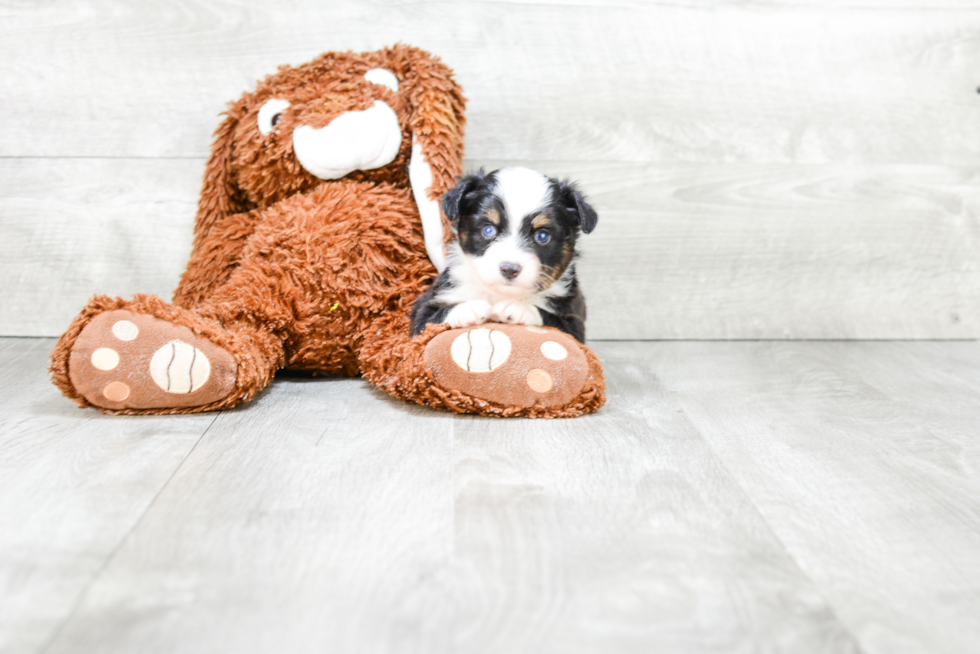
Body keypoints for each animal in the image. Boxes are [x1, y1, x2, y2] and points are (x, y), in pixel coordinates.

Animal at [412, 167, 596, 344]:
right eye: (488, 229)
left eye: (542, 236)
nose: (509, 269)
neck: (499, 294)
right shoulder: (423, 312)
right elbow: (434, 318)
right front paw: (468, 308)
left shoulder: (574, 324)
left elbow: (550, 319)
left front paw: (519, 308)